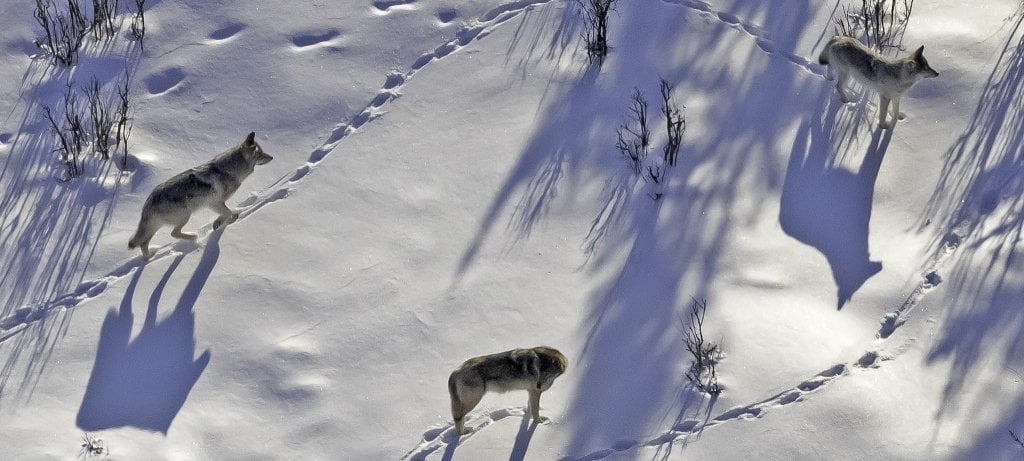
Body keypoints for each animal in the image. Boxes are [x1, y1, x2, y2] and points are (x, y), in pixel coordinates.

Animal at [127, 130, 272, 259]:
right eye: (261, 154)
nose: (272, 157)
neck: (228, 170)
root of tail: (149, 201)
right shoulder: (214, 203)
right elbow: (229, 213)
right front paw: (229, 220)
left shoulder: (215, 204)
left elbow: (225, 214)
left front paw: (218, 223)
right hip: (185, 215)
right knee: (173, 234)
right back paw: (193, 236)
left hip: (157, 226)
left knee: (143, 244)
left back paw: (150, 257)